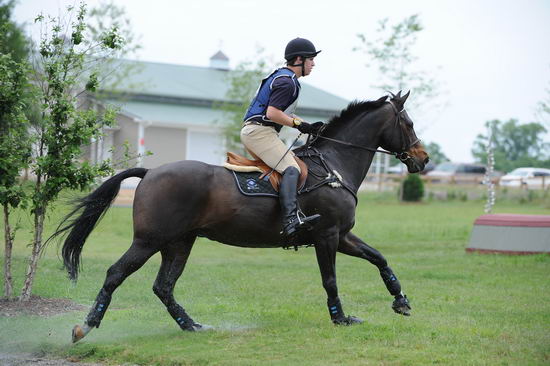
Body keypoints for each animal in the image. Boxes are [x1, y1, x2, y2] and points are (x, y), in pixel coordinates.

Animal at [52, 90, 432, 342]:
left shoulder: (341, 235)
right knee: (116, 274)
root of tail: (149, 173)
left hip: (179, 242)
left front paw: (401, 301)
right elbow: (330, 280)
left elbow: (379, 258)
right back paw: (85, 326)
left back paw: (192, 325)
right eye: (409, 122)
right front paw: (341, 318)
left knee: (164, 286)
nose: (423, 159)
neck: (334, 165)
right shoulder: (327, 236)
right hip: (149, 240)